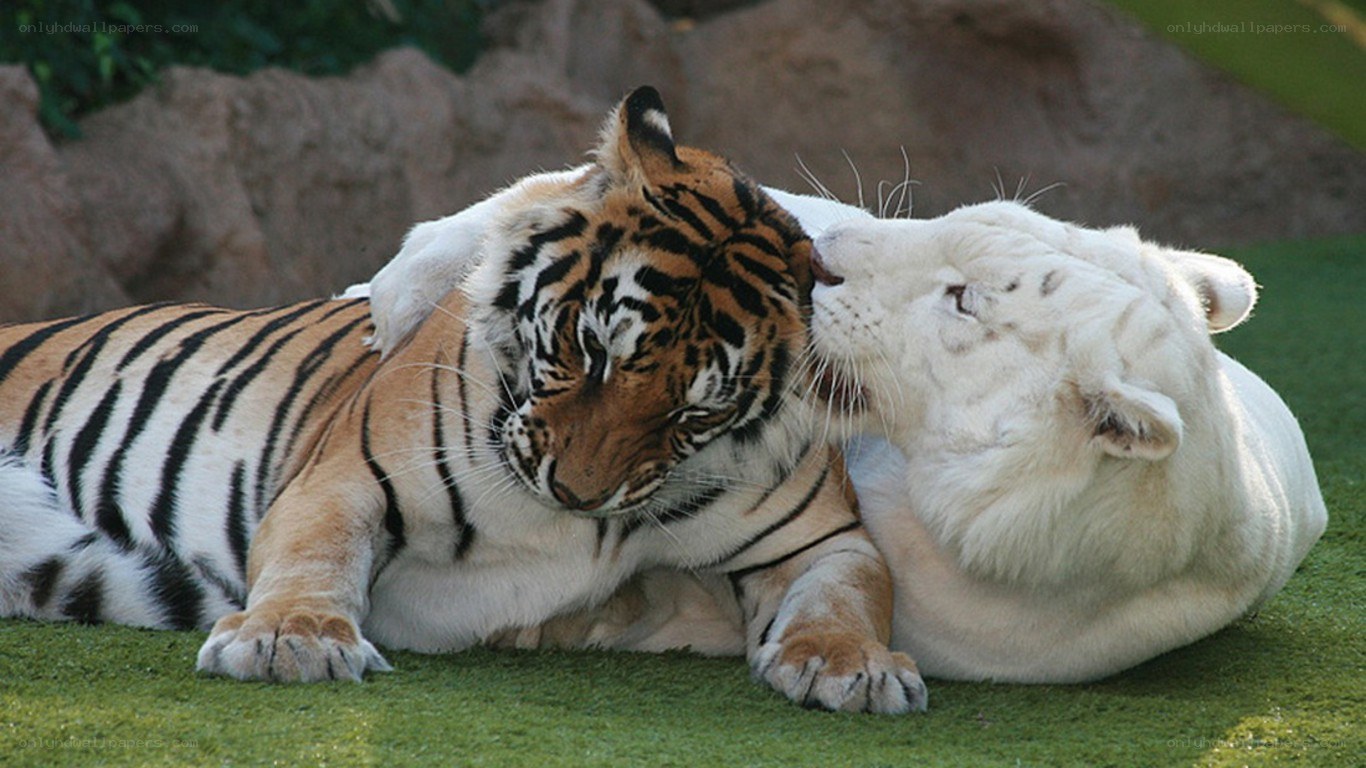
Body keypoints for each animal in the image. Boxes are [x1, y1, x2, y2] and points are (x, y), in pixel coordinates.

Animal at [0, 87, 926, 713]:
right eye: (592, 351)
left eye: (692, 414)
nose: (575, 493)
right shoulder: (343, 478)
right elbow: (314, 556)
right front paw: (288, 640)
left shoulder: (823, 538)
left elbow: (846, 595)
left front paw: (855, 665)